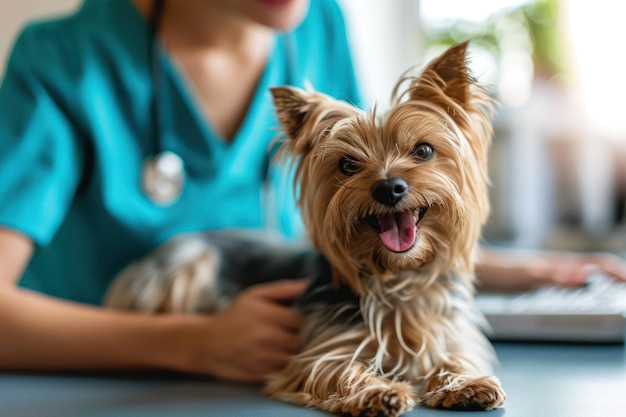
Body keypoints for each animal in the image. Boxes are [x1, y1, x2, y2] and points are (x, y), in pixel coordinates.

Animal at [103, 40, 502, 414]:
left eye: (423, 151)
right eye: (348, 165)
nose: (388, 187)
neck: (398, 277)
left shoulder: (448, 333)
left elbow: (454, 356)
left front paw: (465, 384)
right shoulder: (322, 348)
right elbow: (336, 369)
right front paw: (378, 392)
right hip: (188, 265)